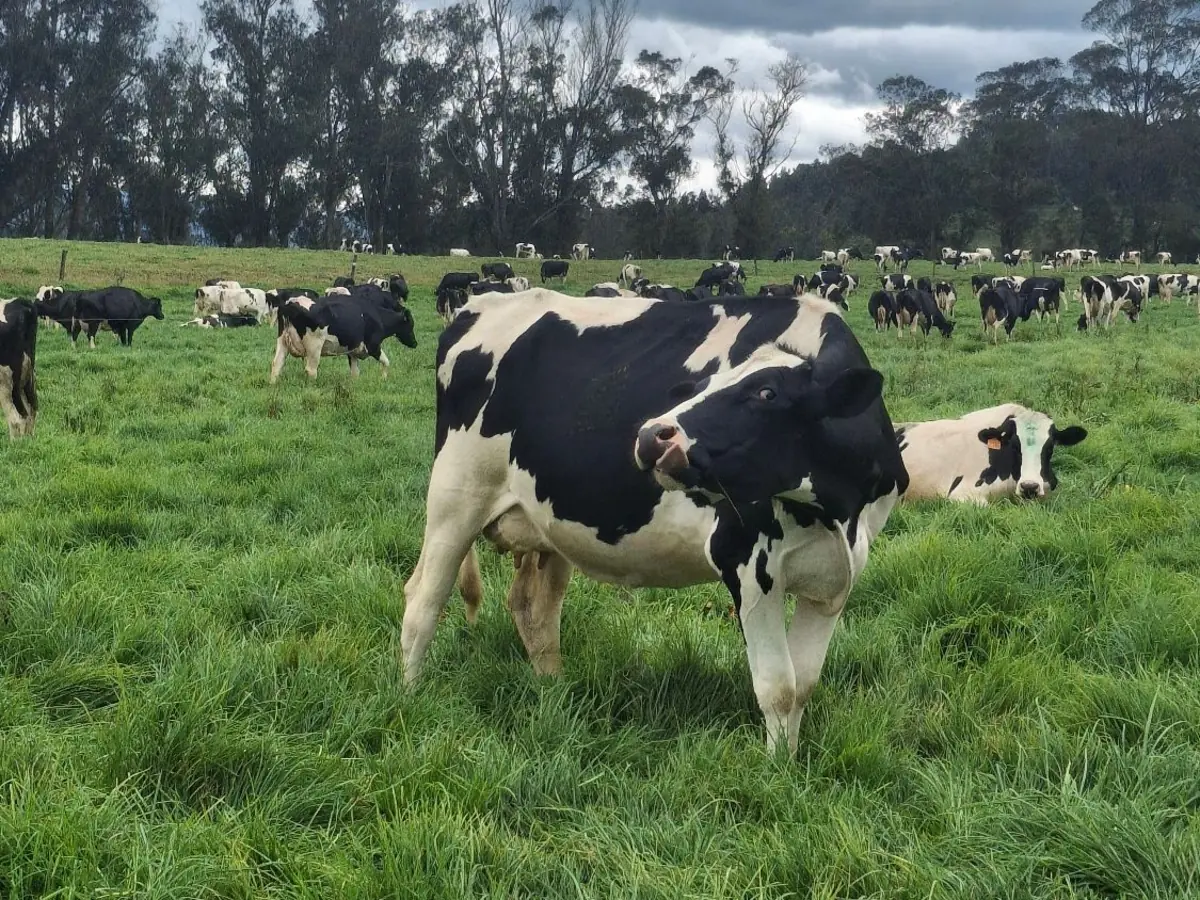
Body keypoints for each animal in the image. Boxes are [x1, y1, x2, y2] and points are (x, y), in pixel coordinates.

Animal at [269, 292, 416, 383]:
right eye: (411, 325)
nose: (415, 343)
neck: (377, 316)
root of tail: (292, 302)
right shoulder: (373, 346)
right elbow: (386, 362)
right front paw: (383, 379)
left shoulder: (353, 351)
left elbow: (355, 372)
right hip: (314, 346)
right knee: (311, 370)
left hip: (282, 341)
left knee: (277, 364)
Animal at [401, 290, 908, 754]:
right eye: (705, 384)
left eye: (767, 393)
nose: (650, 435)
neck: (836, 513)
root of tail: (479, 303)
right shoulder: (747, 561)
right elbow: (778, 688)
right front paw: (776, 772)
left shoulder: (834, 580)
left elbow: (803, 685)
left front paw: (790, 765)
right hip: (456, 496)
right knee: (422, 601)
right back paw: (409, 694)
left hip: (549, 523)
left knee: (533, 609)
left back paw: (554, 695)